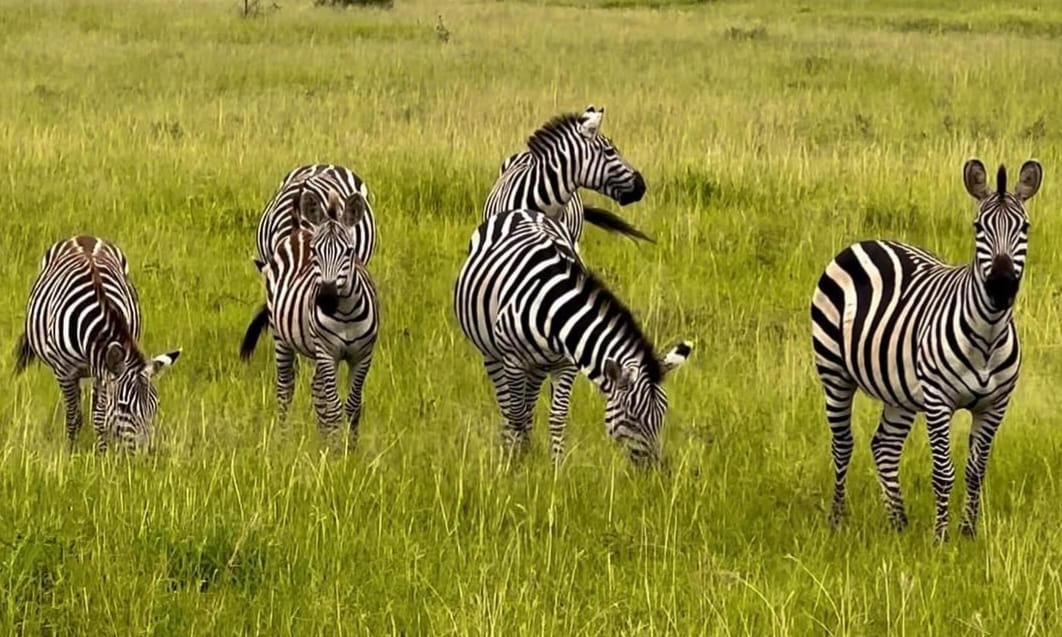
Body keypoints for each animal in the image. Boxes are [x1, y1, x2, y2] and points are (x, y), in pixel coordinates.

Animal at [14, 235, 181, 453]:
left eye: (156, 405)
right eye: (123, 406)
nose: (148, 454)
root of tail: (83, 236)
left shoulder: (103, 372)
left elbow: (99, 418)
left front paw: (101, 453)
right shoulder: (64, 372)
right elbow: (74, 417)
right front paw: (72, 453)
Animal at [240, 188, 379, 440]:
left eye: (350, 251)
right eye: (314, 251)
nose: (326, 298)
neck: (346, 313)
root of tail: (298, 231)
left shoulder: (363, 356)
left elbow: (353, 406)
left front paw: (350, 446)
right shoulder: (327, 352)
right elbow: (334, 407)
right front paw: (335, 448)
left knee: (317, 390)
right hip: (282, 338)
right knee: (286, 388)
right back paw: (284, 438)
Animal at [454, 208, 692, 464]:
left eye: (662, 415)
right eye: (632, 418)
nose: (656, 468)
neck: (552, 311)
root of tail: (524, 211)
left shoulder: (567, 364)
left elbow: (557, 418)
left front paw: (555, 466)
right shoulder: (514, 360)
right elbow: (516, 414)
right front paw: (515, 463)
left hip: (537, 365)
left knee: (528, 404)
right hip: (492, 354)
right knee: (507, 404)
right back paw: (511, 446)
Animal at [810, 158, 1042, 541]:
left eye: (1024, 227)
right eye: (978, 227)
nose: (1000, 287)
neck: (988, 335)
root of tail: (867, 242)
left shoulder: (995, 406)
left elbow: (975, 472)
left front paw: (967, 533)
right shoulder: (938, 401)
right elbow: (944, 473)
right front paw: (941, 538)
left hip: (900, 391)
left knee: (885, 447)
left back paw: (898, 523)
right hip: (834, 371)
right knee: (843, 445)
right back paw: (837, 519)